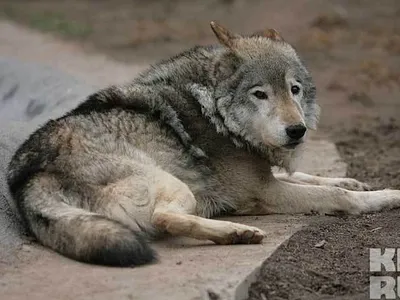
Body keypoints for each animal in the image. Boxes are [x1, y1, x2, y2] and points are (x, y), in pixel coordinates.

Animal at [6, 22, 400, 268]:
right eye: (260, 94)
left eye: (294, 89)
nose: (297, 131)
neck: (215, 109)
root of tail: (27, 178)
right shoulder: (264, 192)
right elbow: (337, 197)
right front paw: (385, 196)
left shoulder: (265, 175)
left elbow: (314, 177)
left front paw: (355, 181)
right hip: (174, 185)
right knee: (164, 218)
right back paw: (237, 233)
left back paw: (236, 234)